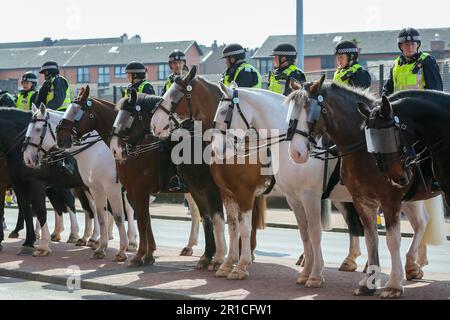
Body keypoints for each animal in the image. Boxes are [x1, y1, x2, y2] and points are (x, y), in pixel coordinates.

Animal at [0, 109, 91, 256]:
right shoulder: (19, 185)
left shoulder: (34, 183)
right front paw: (29, 242)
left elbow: (40, 210)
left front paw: (43, 245)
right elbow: (26, 209)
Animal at [22, 104, 137, 262]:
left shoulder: (111, 187)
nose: (27, 158)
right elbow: (98, 214)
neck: (95, 152)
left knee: (129, 210)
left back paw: (130, 242)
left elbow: (118, 215)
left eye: (38, 129)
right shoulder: (94, 187)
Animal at [56, 86, 225, 268]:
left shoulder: (128, 189)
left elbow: (130, 218)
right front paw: (147, 253)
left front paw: (131, 253)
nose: (60, 138)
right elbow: (137, 219)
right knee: (197, 213)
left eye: (77, 112)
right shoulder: (121, 190)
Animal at [153, 67, 268, 280]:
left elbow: (219, 221)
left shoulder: (217, 190)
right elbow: (208, 219)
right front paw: (209, 256)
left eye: (175, 96)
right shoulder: (198, 189)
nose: (154, 124)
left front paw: (219, 258)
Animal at [210, 82, 440, 288]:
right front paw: (305, 271)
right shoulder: (291, 198)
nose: (215, 150)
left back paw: (410, 264)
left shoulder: (302, 196)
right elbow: (302, 233)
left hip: (405, 197)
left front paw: (314, 274)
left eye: (224, 113)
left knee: (421, 223)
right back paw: (410, 265)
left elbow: (313, 233)